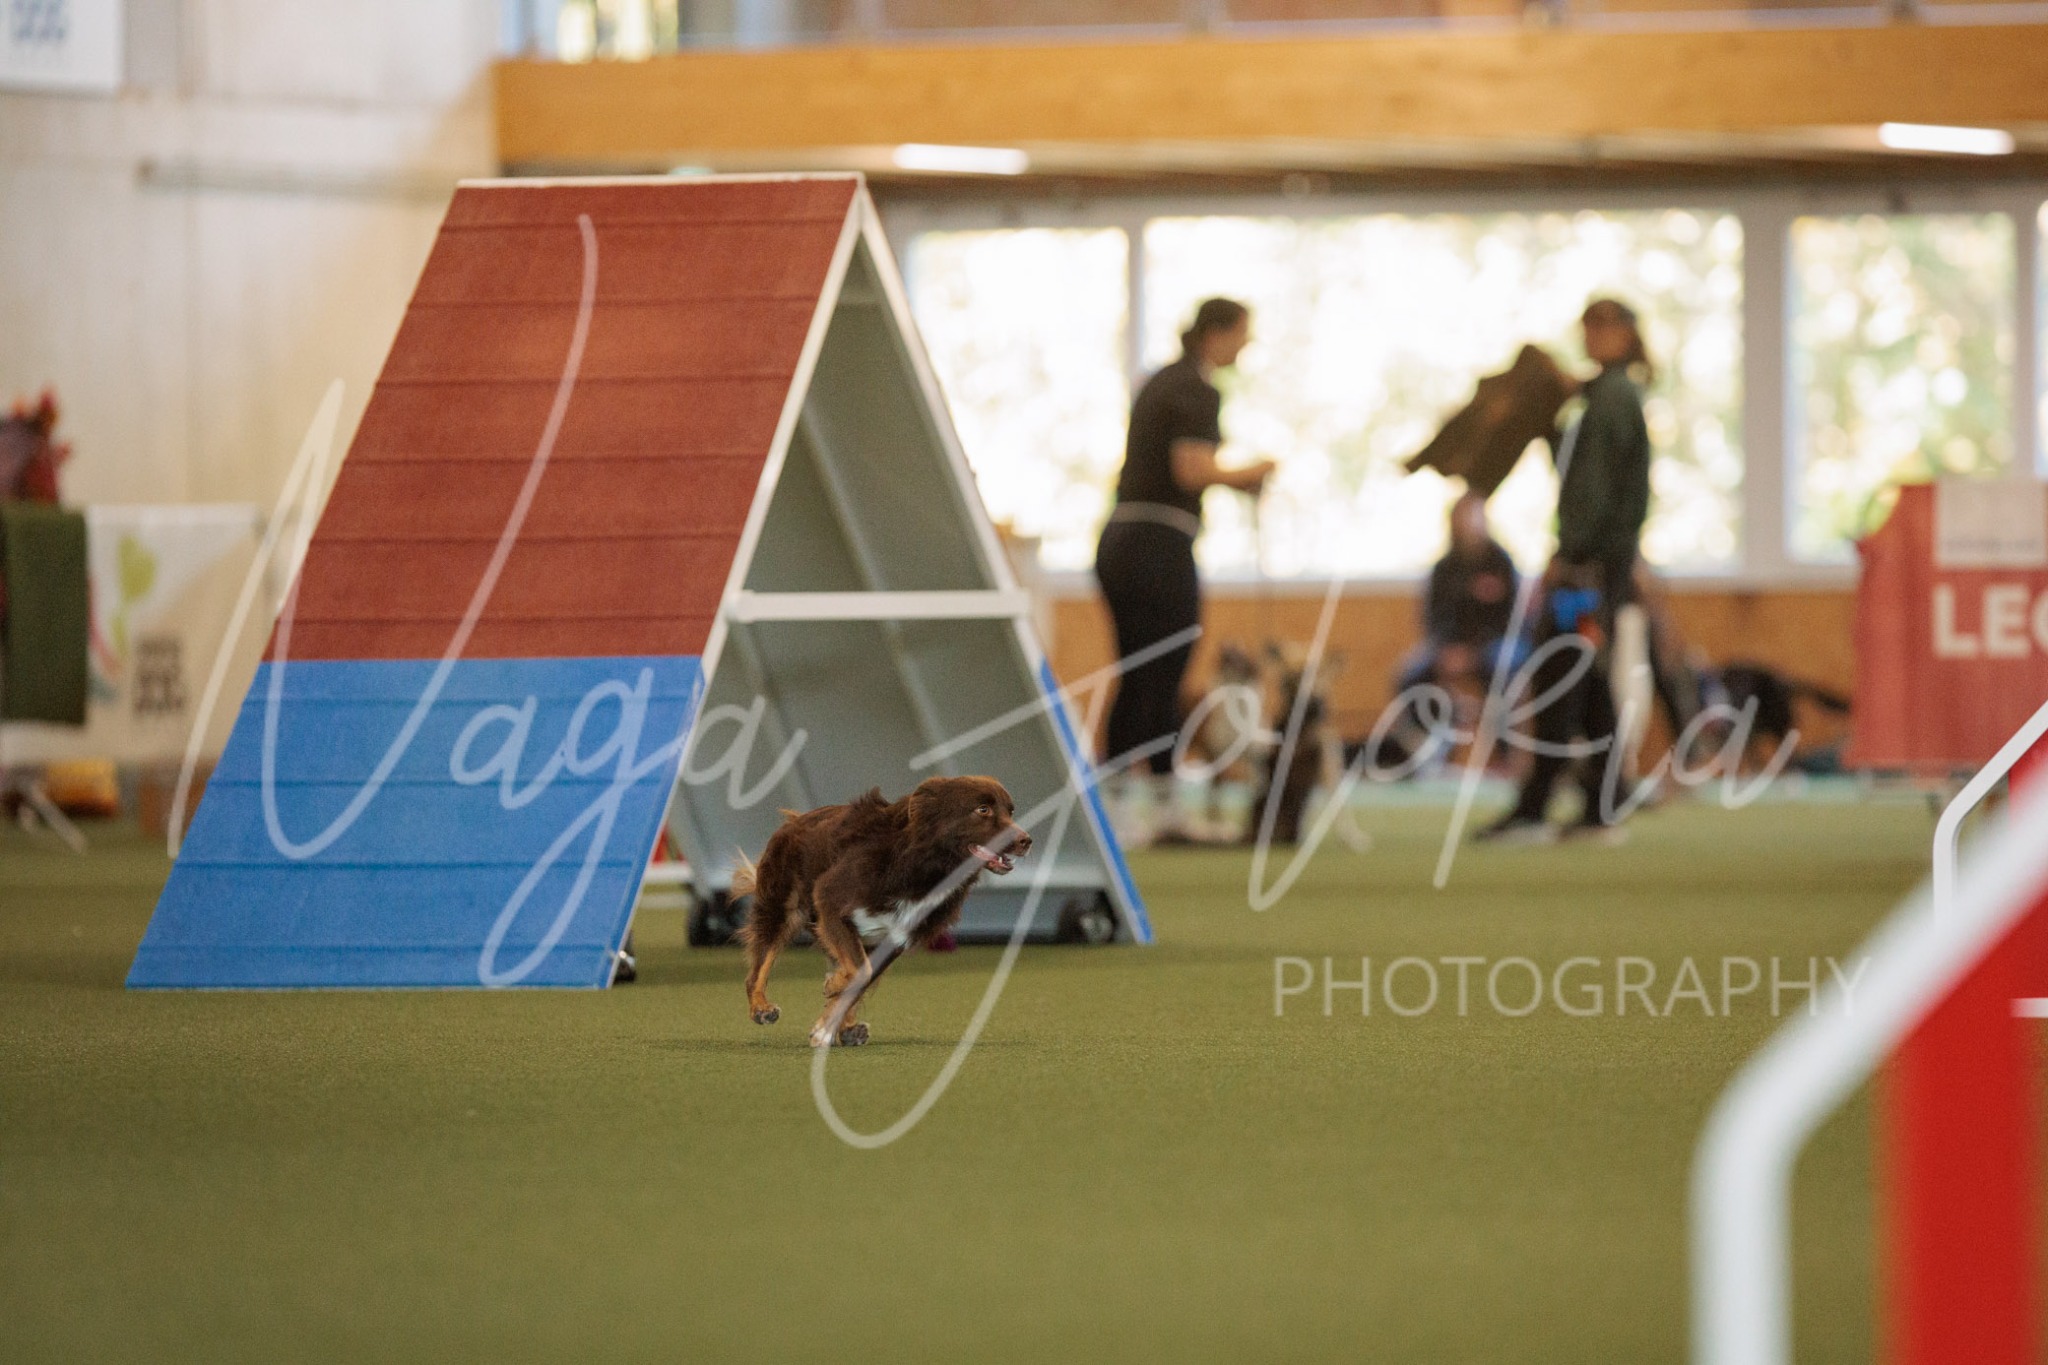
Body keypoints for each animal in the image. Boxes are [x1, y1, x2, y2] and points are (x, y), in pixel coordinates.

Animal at [735, 775, 1032, 1048]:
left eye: (1010, 811)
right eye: (983, 809)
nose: (1026, 840)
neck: (921, 864)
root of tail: (794, 820)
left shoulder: (895, 939)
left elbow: (861, 978)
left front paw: (829, 1019)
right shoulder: (831, 902)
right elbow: (860, 972)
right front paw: (827, 1016)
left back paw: (848, 1025)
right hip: (782, 909)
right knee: (757, 971)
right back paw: (761, 1007)